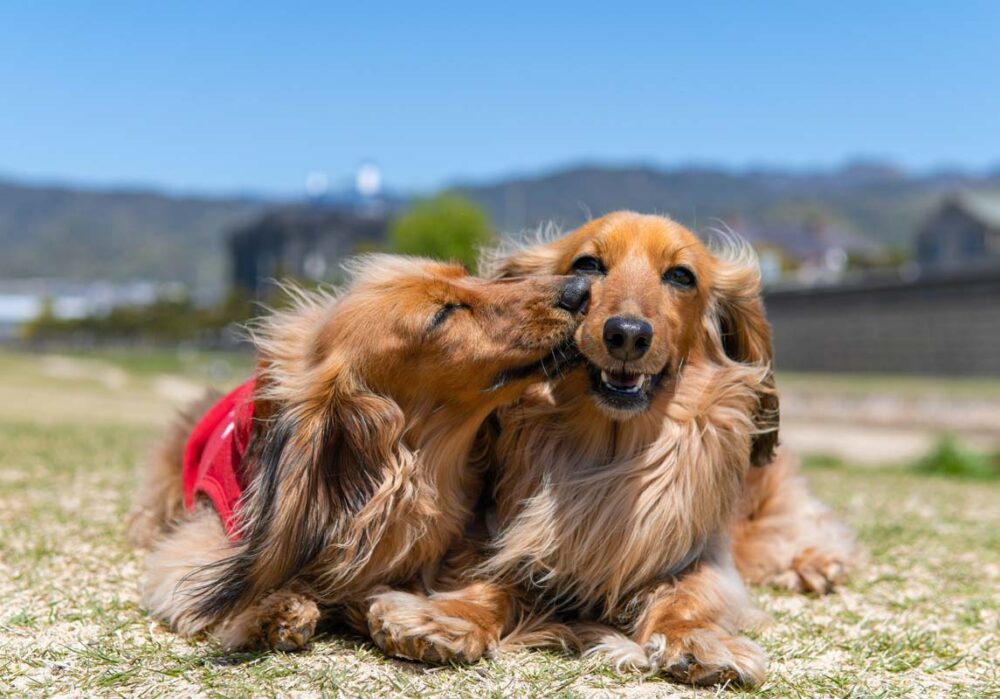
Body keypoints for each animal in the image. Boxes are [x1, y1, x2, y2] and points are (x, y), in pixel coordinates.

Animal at [128, 256, 588, 652]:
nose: (581, 287)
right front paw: (271, 609)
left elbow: (498, 588)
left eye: (471, 276)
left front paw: (447, 620)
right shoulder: (205, 539)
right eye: (442, 314)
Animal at [364, 213, 856, 688]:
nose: (627, 334)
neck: (611, 452)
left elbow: (691, 596)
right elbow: (491, 581)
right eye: (588, 265)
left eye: (681, 275)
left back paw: (815, 563)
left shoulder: (699, 556)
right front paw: (446, 618)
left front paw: (698, 640)